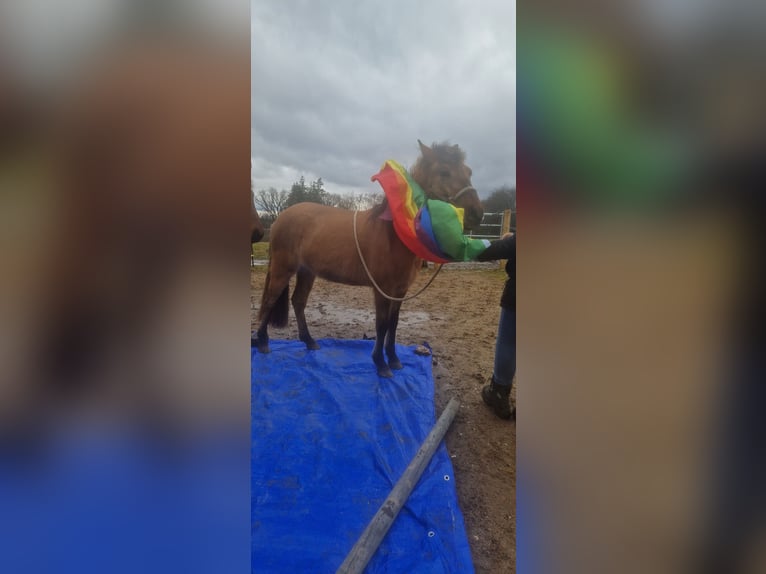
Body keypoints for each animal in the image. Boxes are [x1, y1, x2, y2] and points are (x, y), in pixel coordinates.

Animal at [256, 142, 486, 380]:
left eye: (469, 171)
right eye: (444, 172)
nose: (477, 213)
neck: (393, 233)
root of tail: (280, 218)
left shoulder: (400, 290)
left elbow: (393, 324)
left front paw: (394, 360)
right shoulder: (382, 289)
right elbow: (381, 325)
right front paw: (381, 364)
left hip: (307, 272)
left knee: (298, 301)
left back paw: (310, 342)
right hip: (283, 269)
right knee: (270, 300)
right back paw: (263, 343)